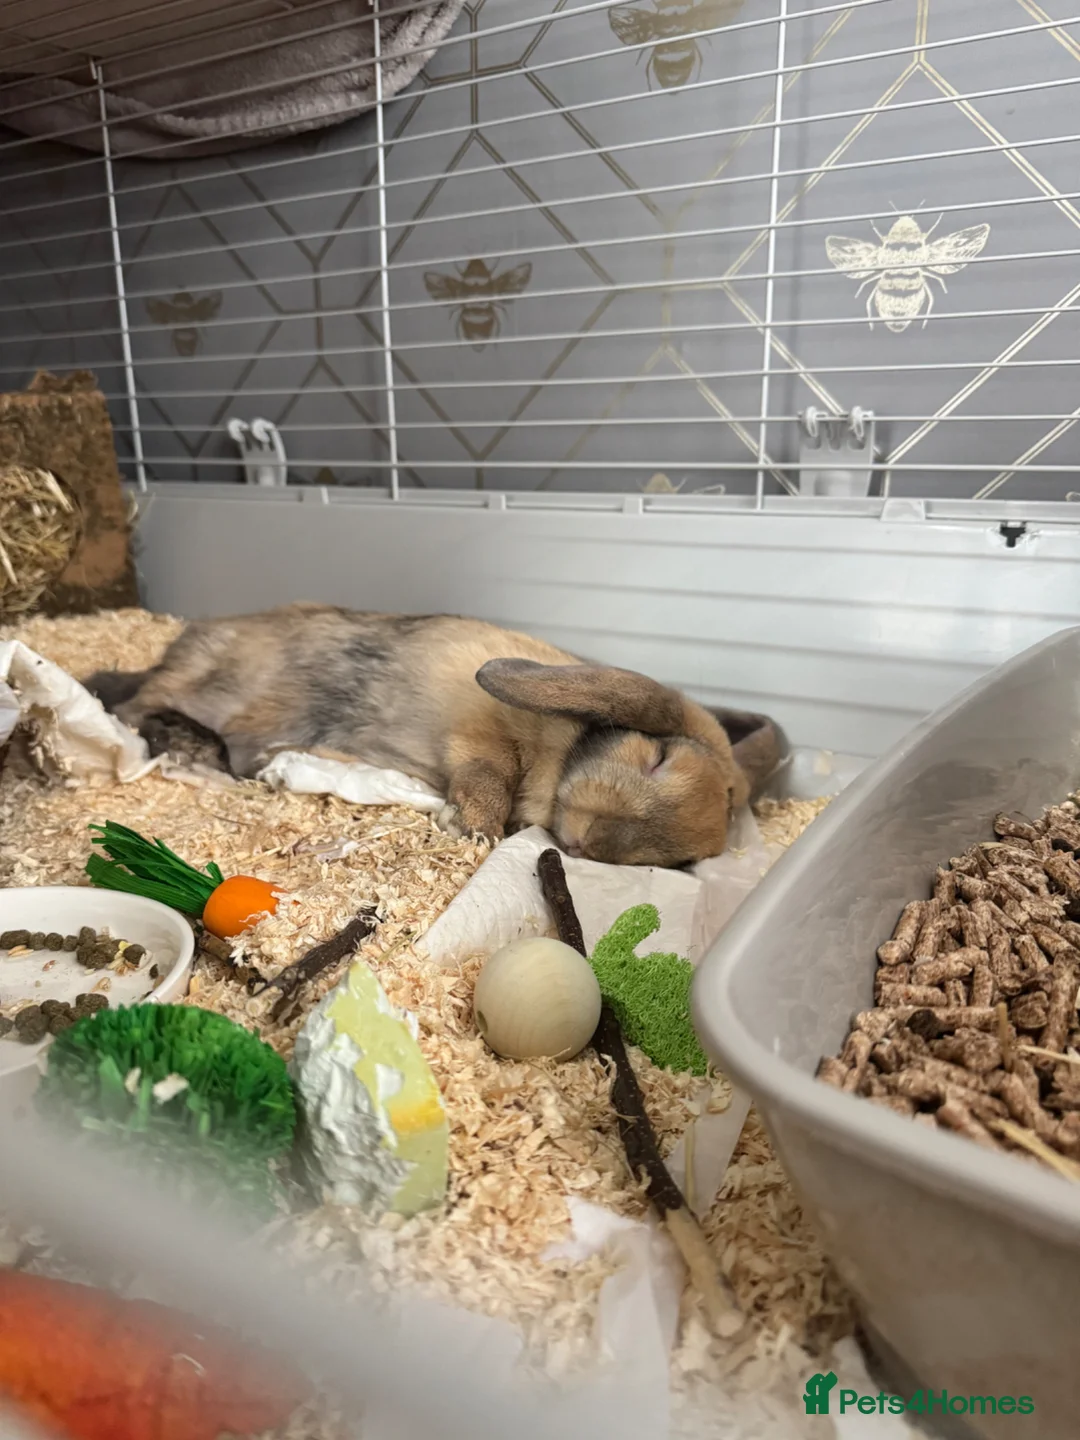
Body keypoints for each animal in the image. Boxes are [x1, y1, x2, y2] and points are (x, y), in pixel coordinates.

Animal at [84, 602, 782, 868]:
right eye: (658, 757)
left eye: (679, 861)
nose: (587, 843)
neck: (561, 751)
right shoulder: (479, 735)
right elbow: (488, 776)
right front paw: (471, 828)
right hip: (196, 679)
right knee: (143, 703)